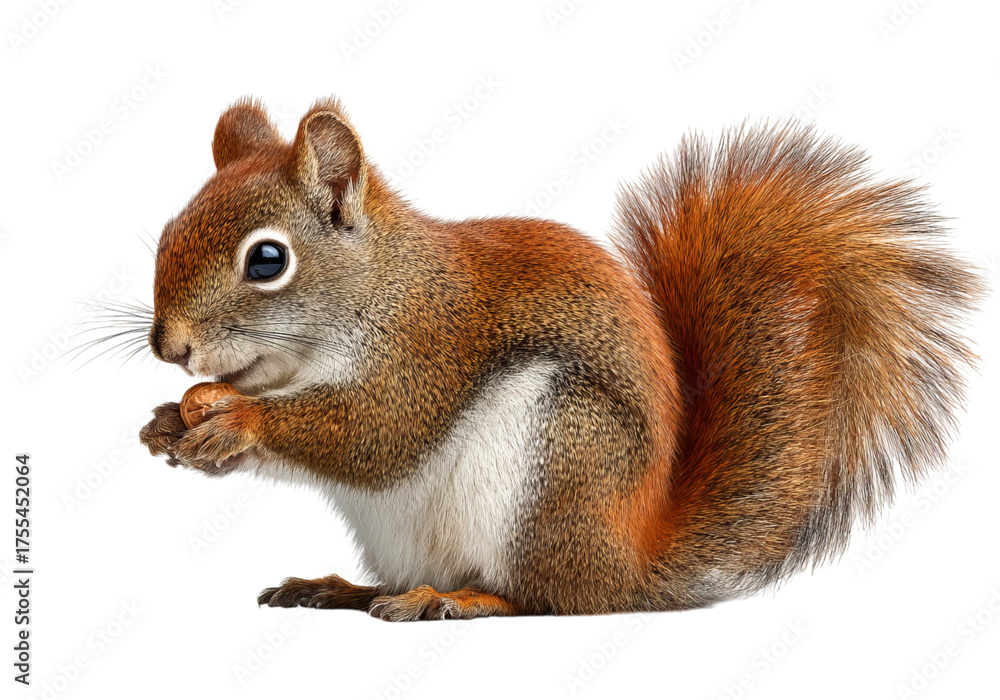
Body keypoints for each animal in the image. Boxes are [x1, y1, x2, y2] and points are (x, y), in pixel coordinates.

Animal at [138, 97, 983, 621]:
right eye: (170, 229)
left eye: (267, 260)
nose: (169, 347)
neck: (381, 287)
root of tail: (629, 560)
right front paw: (167, 424)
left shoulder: (428, 350)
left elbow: (377, 435)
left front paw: (236, 420)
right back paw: (339, 588)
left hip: (551, 457)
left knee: (552, 597)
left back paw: (458, 600)